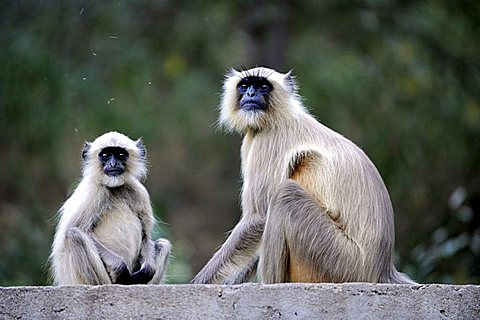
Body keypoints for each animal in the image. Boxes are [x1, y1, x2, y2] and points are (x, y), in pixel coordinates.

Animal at [50, 131, 171, 286]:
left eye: (121, 154)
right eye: (105, 155)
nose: (113, 163)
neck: (114, 187)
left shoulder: (139, 192)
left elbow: (145, 236)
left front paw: (148, 268)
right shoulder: (94, 192)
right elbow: (71, 230)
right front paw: (119, 268)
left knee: (164, 244)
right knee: (73, 234)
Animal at [192, 66, 416, 284]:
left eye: (263, 86)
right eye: (245, 85)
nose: (251, 94)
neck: (280, 117)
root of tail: (383, 269)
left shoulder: (267, 140)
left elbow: (258, 217)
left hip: (341, 261)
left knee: (285, 194)